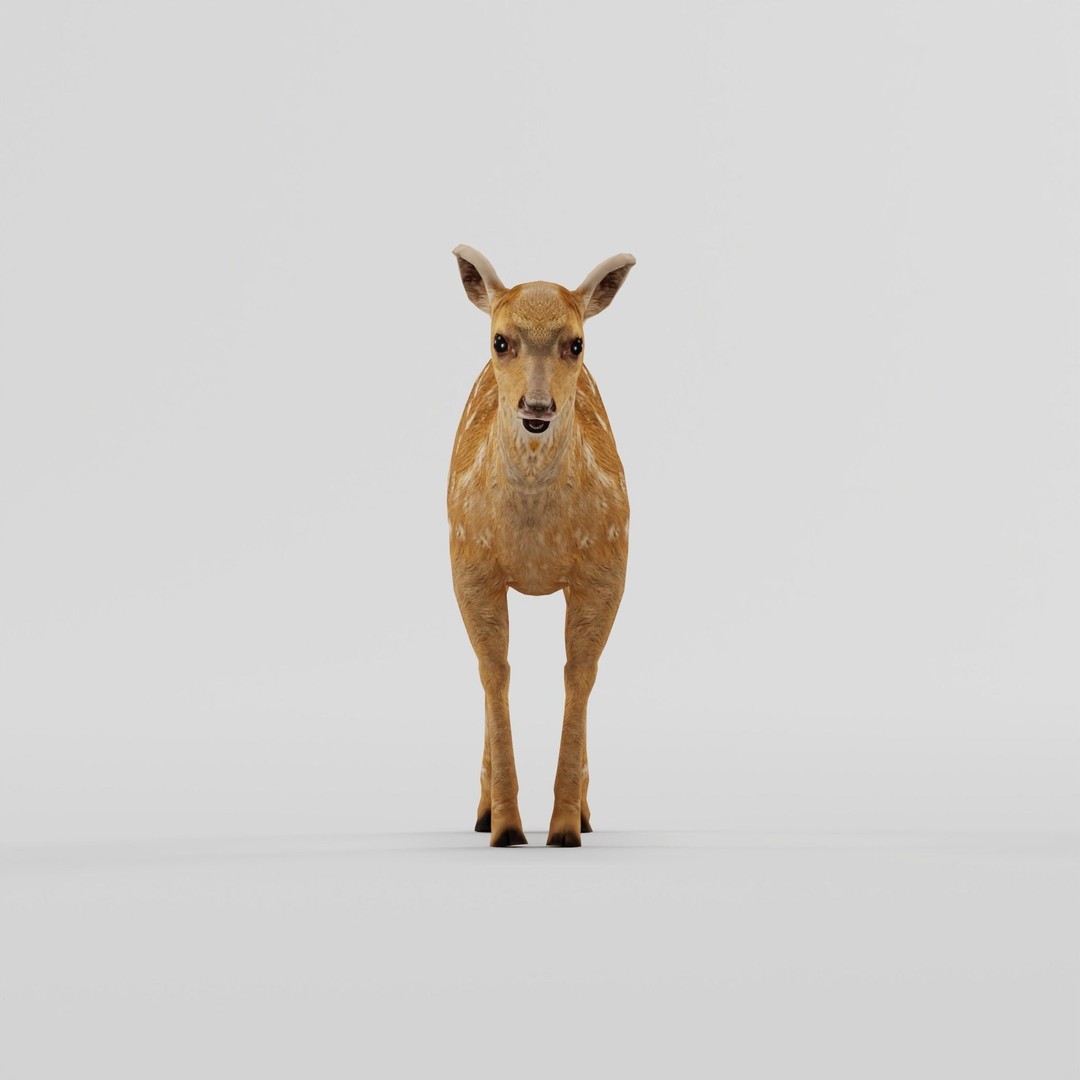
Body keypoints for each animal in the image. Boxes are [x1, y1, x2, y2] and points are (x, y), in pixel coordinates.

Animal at [448, 246, 635, 847]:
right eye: (500, 340)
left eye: (576, 343)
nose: (537, 407)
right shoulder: (470, 561)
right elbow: (494, 668)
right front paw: (506, 827)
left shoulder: (606, 564)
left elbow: (580, 671)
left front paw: (565, 828)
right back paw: (483, 811)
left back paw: (587, 813)